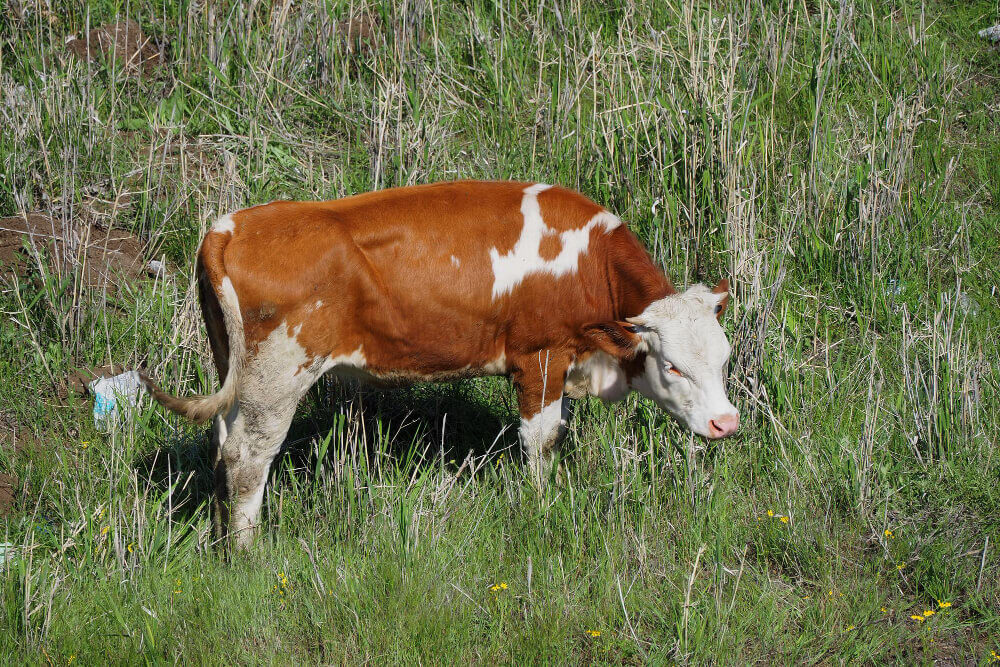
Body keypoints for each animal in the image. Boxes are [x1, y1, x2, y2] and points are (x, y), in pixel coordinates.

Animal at [141, 181, 740, 548]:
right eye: (673, 367)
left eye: (725, 359)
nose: (726, 423)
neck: (587, 260)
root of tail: (230, 226)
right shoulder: (540, 357)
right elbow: (541, 440)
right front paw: (542, 509)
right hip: (277, 377)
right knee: (248, 458)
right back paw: (247, 550)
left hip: (236, 373)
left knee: (222, 443)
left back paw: (223, 536)